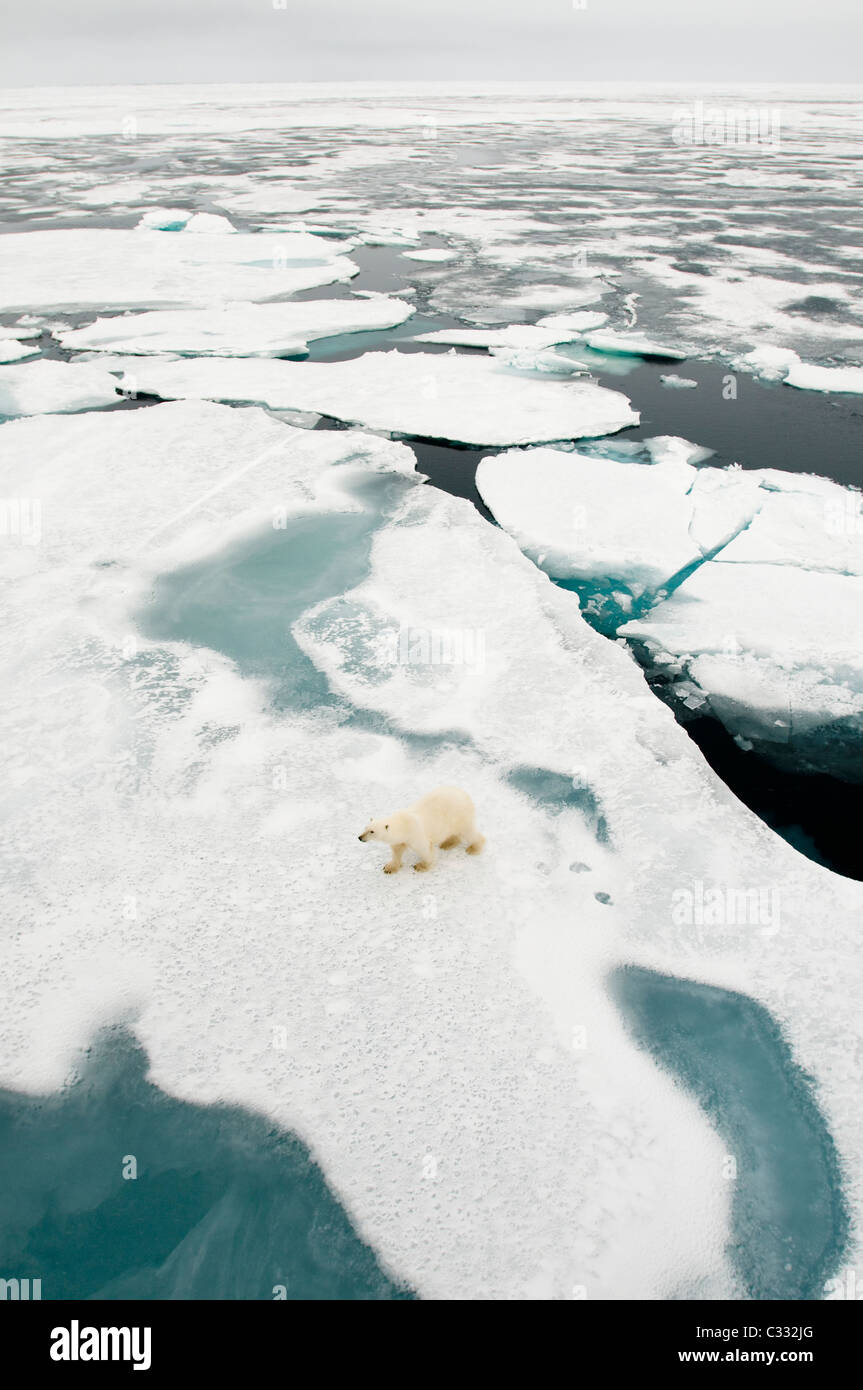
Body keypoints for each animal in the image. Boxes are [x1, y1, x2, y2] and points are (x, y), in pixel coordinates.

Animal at [355, 789, 483, 872]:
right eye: (365, 828)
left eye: (372, 831)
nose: (360, 838)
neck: (403, 825)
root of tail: (466, 795)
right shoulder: (400, 839)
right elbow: (397, 851)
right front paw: (390, 867)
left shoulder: (415, 834)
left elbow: (425, 849)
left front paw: (421, 866)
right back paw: (448, 843)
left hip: (459, 815)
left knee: (468, 832)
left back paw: (474, 848)